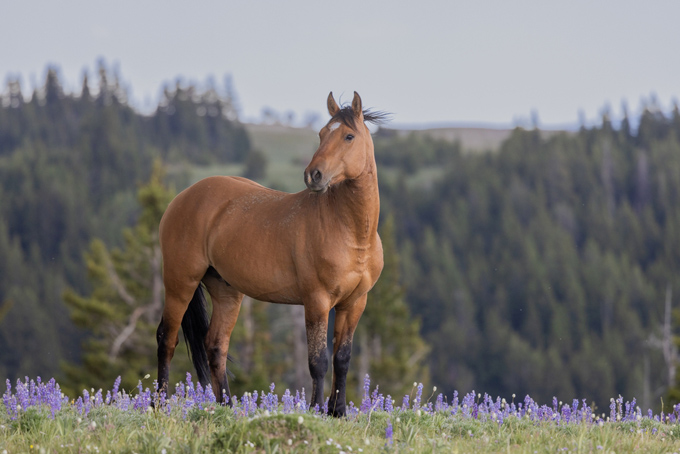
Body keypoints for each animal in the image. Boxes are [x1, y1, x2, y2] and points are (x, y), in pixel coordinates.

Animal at [156, 91, 386, 414]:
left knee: (215, 345)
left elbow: (342, 359)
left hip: (226, 290)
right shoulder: (316, 301)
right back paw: (157, 404)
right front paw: (316, 411)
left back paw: (228, 407)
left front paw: (338, 412)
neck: (350, 232)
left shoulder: (354, 303)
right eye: (321, 134)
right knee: (167, 339)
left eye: (349, 136)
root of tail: (182, 197)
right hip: (180, 282)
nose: (313, 175)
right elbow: (318, 362)